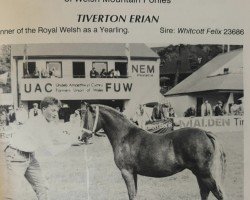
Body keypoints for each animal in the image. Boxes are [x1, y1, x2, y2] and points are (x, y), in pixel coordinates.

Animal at [82, 104, 227, 199]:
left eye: (87, 117)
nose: (82, 137)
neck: (125, 136)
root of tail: (205, 133)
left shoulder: (126, 172)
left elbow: (131, 195)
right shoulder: (133, 173)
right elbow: (135, 194)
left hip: (204, 173)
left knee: (218, 193)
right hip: (199, 174)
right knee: (205, 192)